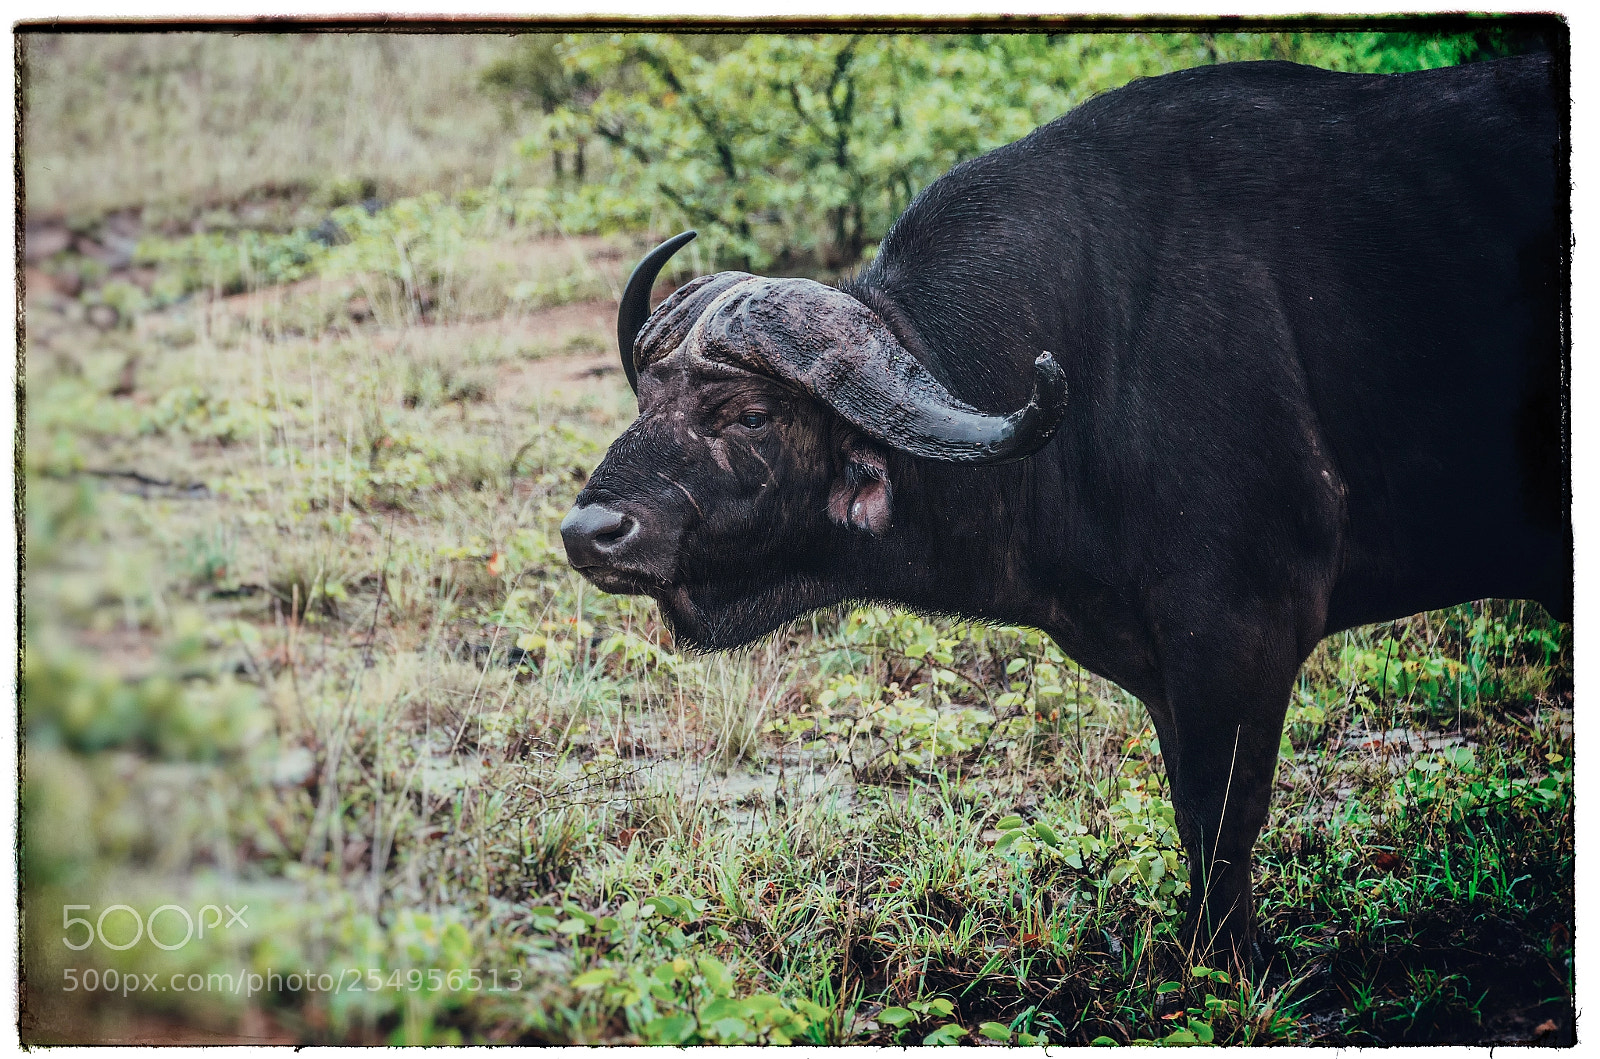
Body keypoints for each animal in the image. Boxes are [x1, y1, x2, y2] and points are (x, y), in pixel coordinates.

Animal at [561, 54, 1568, 961]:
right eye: (646, 396)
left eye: (751, 414)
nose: (590, 532)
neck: (1100, 355)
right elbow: (1194, 812)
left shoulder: (1243, 632)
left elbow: (1225, 817)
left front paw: (1227, 961)